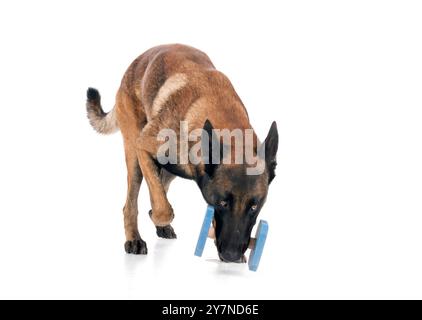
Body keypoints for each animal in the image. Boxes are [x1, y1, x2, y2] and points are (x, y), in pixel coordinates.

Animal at [85, 43, 276, 262]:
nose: (231, 255)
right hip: (134, 157)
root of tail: (133, 65)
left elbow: (160, 194)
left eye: (254, 207)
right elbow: (163, 209)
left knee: (160, 183)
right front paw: (158, 216)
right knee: (131, 203)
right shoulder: (143, 147)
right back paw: (134, 238)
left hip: (171, 168)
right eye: (222, 202)